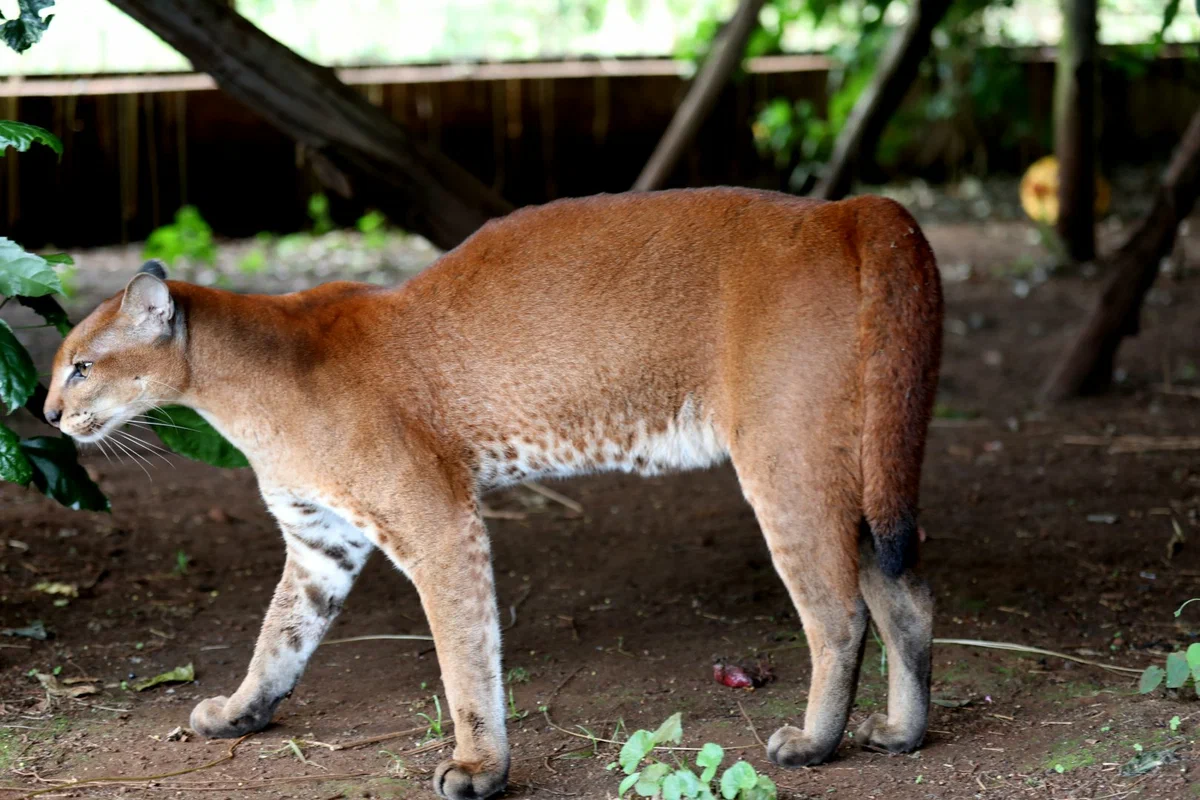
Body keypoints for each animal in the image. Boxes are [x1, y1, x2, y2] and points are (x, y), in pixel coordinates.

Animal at [44, 189, 936, 800]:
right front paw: (239, 712)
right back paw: (900, 730)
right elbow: (280, 637)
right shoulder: (320, 538)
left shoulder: (437, 520)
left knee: (837, 611)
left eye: (82, 366)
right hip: (859, 465)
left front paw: (479, 766)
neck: (234, 384)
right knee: (906, 594)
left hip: (786, 459)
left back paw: (814, 743)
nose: (47, 412)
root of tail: (845, 209)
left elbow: (464, 653)